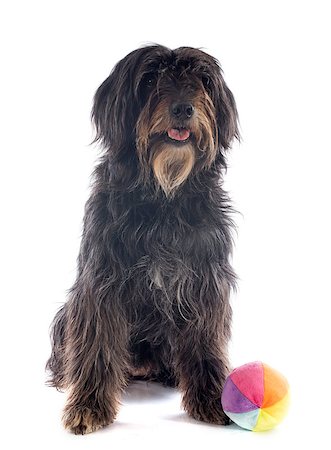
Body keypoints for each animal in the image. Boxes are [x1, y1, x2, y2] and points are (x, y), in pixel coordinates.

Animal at [46, 44, 240, 432]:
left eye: (203, 80)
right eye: (150, 79)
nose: (183, 108)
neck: (164, 196)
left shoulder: (206, 284)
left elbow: (206, 344)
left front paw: (213, 399)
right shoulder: (101, 285)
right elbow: (96, 344)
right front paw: (88, 406)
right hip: (65, 314)